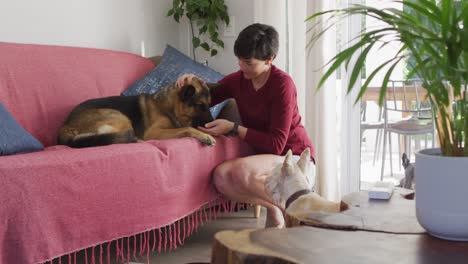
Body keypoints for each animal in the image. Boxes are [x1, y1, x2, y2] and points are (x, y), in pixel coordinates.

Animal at [58, 78, 218, 148]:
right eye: (200, 105)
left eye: (209, 105)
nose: (212, 123)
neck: (168, 107)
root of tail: (66, 125)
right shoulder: (154, 132)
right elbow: (187, 128)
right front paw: (205, 136)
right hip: (119, 116)